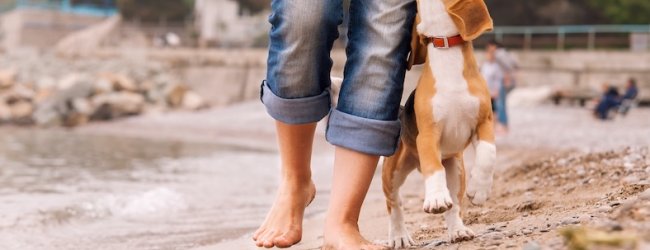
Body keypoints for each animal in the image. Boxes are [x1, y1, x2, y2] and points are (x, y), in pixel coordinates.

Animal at [380, 0, 496, 247]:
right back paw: (399, 236)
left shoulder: (484, 123)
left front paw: (480, 189)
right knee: (394, 204)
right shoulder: (428, 134)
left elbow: (488, 155)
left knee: (455, 205)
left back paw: (457, 230)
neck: (446, 48)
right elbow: (433, 167)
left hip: (457, 169)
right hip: (392, 173)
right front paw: (435, 199)